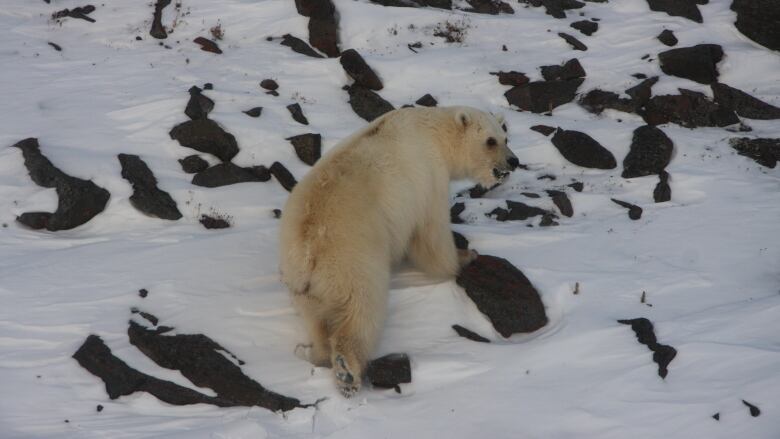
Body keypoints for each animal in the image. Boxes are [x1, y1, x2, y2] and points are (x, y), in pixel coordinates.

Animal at [278, 105, 516, 398]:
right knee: (363, 308)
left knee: (315, 318)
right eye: (490, 141)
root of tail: (307, 248)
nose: (513, 162)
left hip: (302, 282)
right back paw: (347, 371)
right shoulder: (429, 177)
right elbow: (432, 234)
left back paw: (317, 353)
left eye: (506, 138)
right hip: (351, 259)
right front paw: (464, 256)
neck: (434, 130)